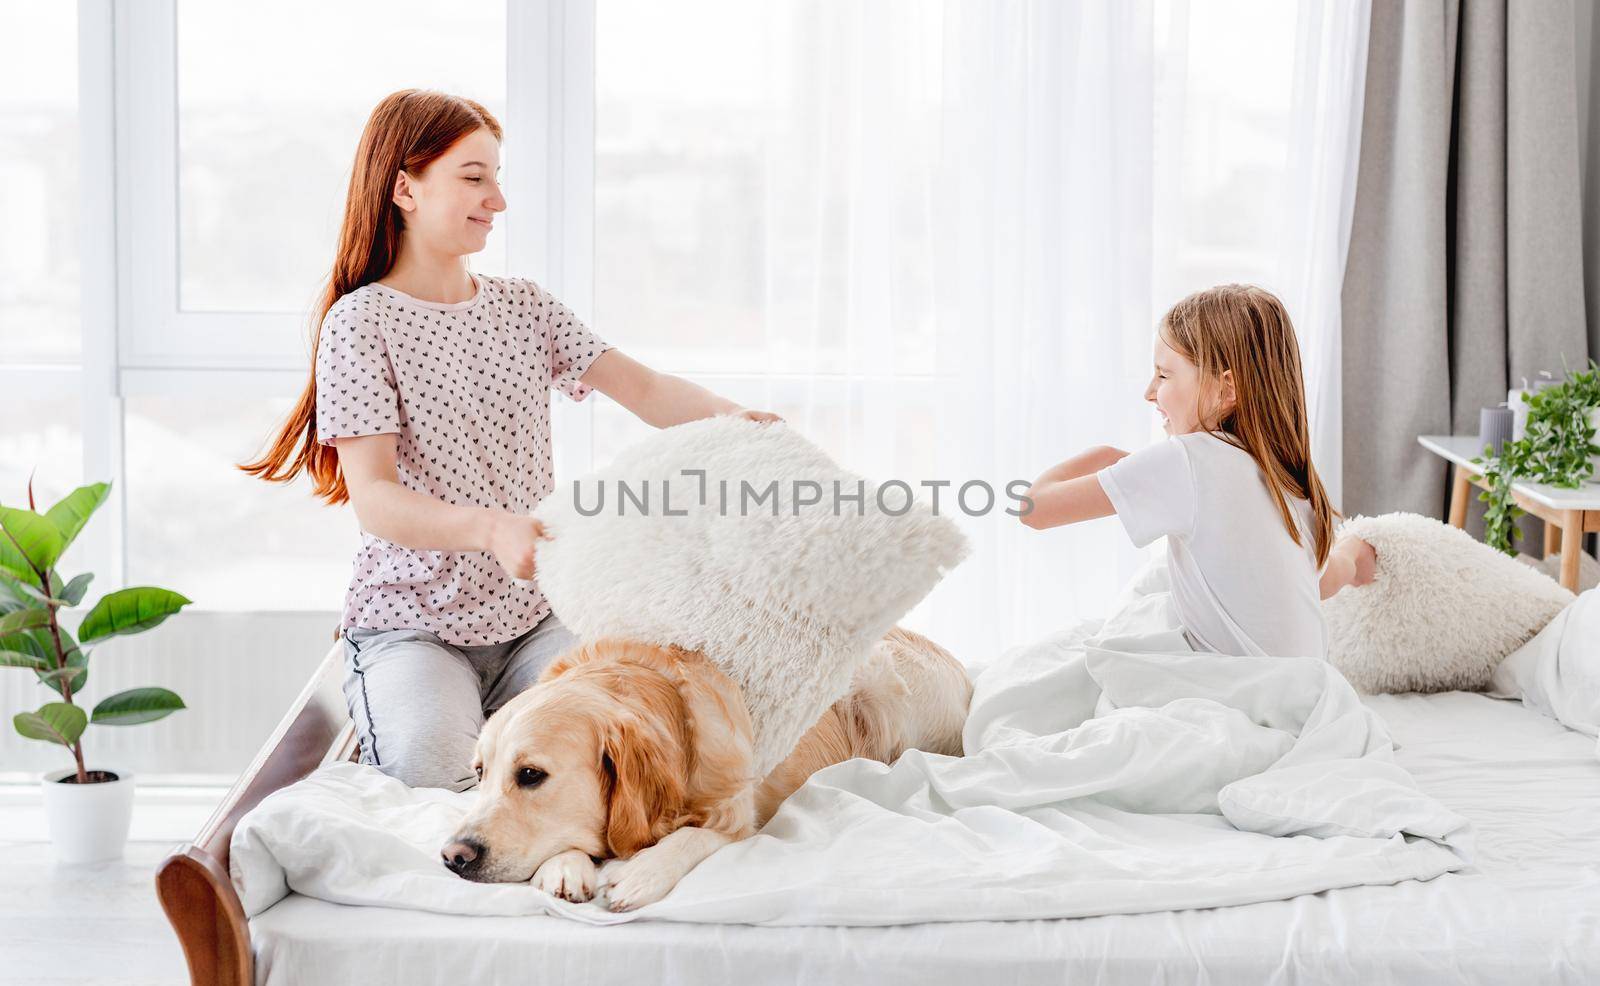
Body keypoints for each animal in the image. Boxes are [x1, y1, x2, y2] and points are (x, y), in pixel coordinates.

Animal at [438, 627, 966, 915]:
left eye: (531, 774)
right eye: (480, 772)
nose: (452, 856)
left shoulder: (740, 811)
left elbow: (695, 836)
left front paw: (641, 873)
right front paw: (564, 867)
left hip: (879, 683)